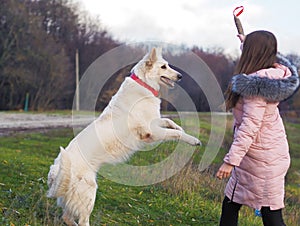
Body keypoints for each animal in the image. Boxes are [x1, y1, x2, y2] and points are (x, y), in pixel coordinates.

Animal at [47, 46, 202, 225]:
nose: (180, 76)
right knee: (82, 220)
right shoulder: (151, 133)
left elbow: (169, 121)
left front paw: (179, 127)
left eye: (168, 65)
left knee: (66, 217)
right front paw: (194, 140)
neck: (144, 84)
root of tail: (55, 172)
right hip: (88, 194)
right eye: (164, 67)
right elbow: (175, 134)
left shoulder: (154, 123)